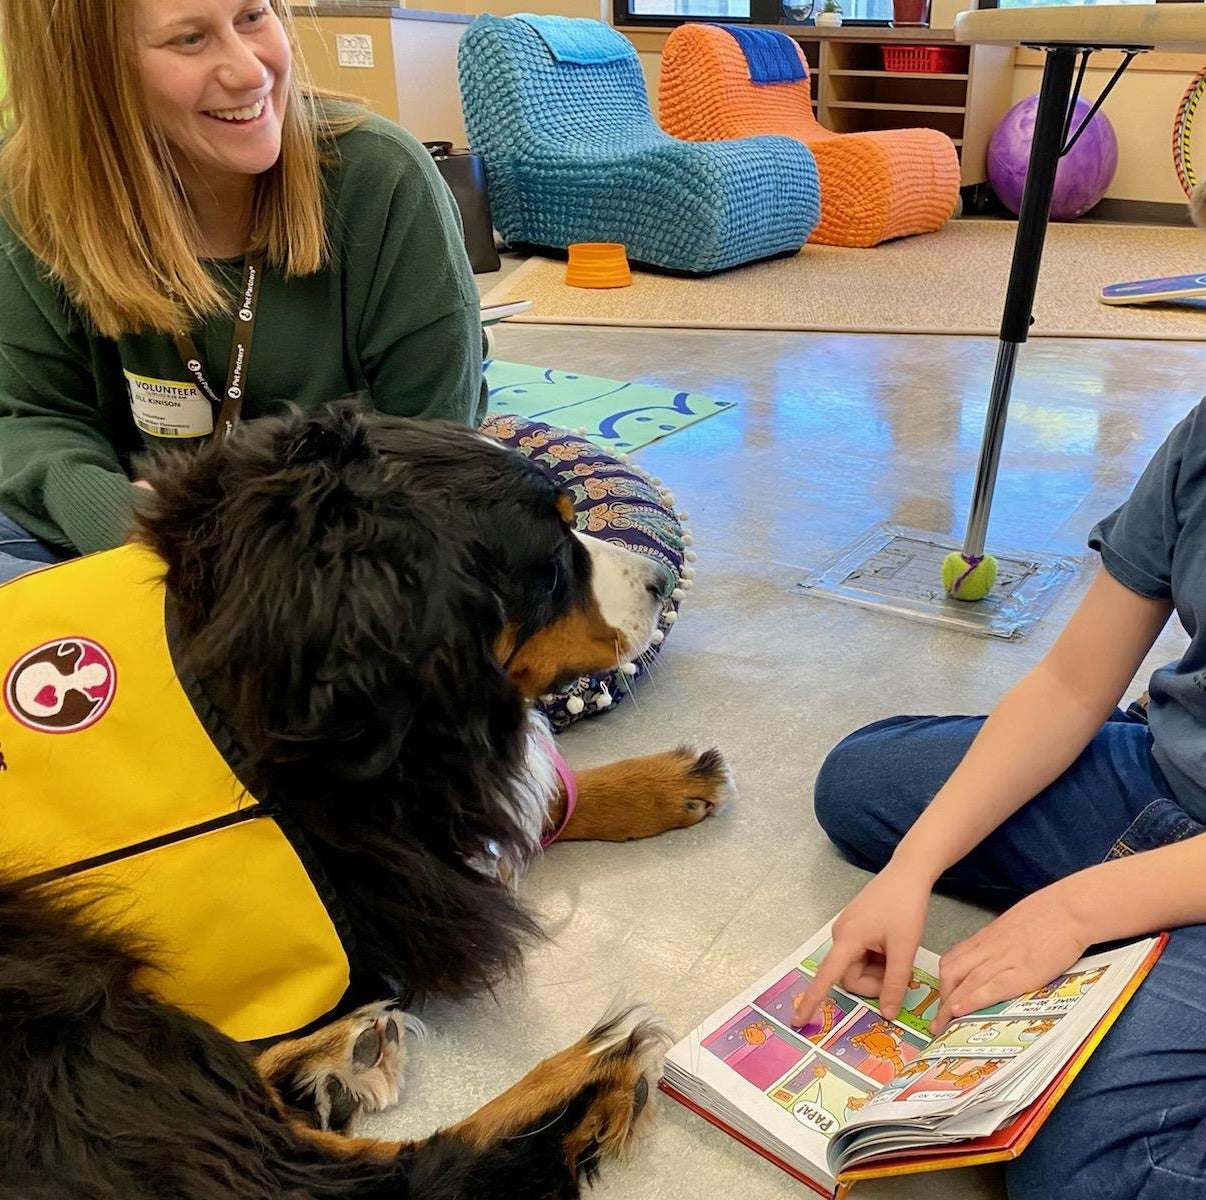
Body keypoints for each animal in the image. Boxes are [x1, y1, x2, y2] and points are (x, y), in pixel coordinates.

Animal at [2, 405, 733, 1200]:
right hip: (62, 998)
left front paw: (663, 782)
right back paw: (590, 1078)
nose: (664, 578)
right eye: (551, 561)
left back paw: (331, 1059)